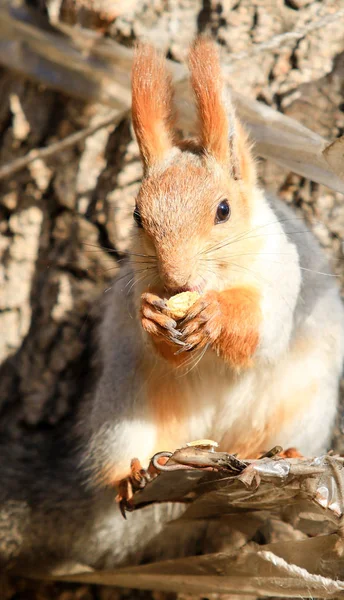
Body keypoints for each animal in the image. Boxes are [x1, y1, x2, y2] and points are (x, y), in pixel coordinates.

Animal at [0, 38, 344, 576]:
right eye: (137, 216)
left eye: (223, 210)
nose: (176, 279)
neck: (216, 282)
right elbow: (163, 343)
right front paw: (156, 319)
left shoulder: (284, 280)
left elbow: (264, 334)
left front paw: (216, 317)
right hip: (125, 409)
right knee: (124, 459)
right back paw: (133, 477)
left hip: (304, 405)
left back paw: (278, 455)